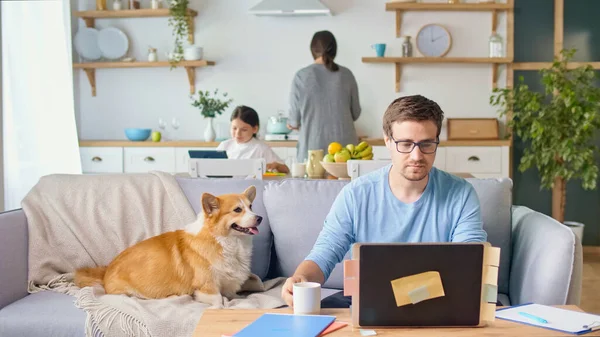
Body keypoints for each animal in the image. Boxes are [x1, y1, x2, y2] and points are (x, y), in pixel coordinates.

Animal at [74, 186, 262, 302]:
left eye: (251, 206)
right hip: (133, 292)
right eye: (237, 210)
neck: (224, 241)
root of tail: (106, 271)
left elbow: (247, 286)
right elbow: (219, 301)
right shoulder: (207, 286)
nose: (260, 218)